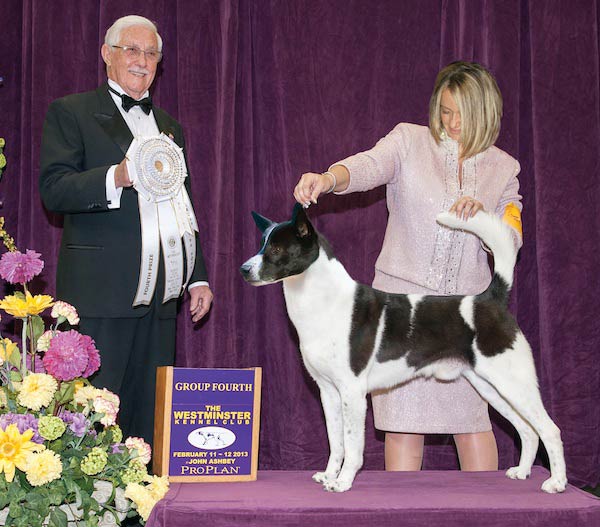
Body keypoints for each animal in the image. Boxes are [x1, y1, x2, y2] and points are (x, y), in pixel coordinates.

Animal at [240, 204, 568, 492]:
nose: (244, 269)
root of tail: (491, 299)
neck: (323, 300)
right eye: (262, 244)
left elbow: (352, 444)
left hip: (514, 382)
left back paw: (556, 483)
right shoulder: (328, 391)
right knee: (527, 429)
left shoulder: (352, 391)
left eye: (277, 249)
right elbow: (336, 442)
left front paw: (343, 482)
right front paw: (329, 475)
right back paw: (522, 471)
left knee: (549, 429)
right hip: (491, 387)